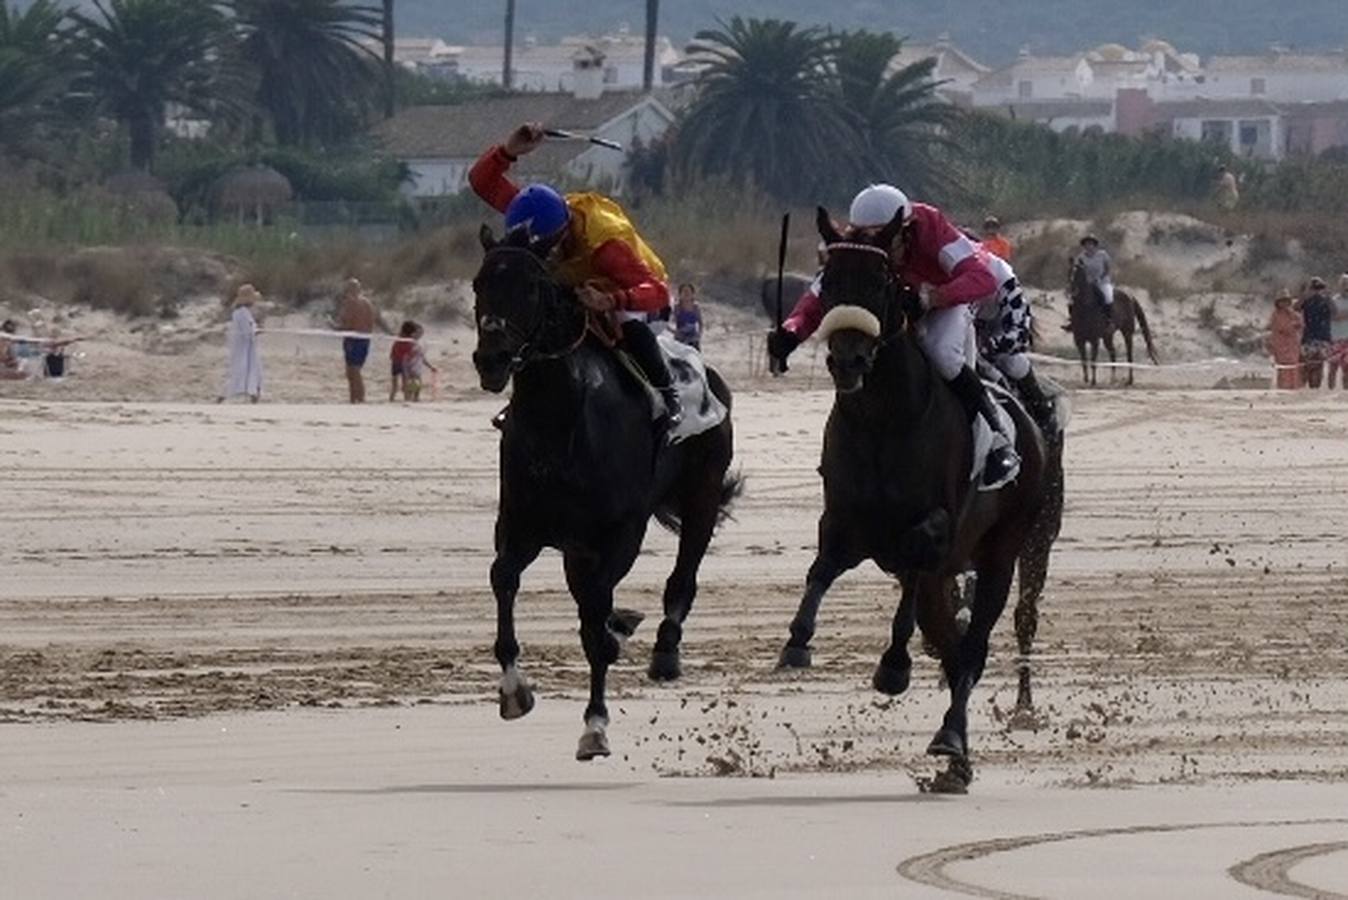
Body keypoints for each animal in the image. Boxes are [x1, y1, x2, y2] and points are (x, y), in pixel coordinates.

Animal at [474, 225, 744, 759]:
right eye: (478, 284)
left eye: (530, 287)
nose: (490, 360)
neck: (561, 423)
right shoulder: (522, 526)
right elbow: (504, 578)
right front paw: (514, 690)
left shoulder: (620, 532)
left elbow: (595, 615)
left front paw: (595, 726)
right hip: (576, 549)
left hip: (702, 497)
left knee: (681, 578)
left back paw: (664, 650)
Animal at [781, 208, 1062, 786]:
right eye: (828, 281)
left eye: (880, 283)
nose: (848, 359)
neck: (884, 421)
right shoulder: (843, 522)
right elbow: (820, 571)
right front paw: (797, 640)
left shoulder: (935, 528)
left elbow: (913, 563)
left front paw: (893, 666)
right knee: (953, 649)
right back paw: (958, 760)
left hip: (1009, 551)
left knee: (975, 646)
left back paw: (952, 738)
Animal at [1062, 260, 1159, 388]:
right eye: (1068, 271)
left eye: (1079, 273)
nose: (1072, 291)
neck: (1084, 308)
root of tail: (1130, 295)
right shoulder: (1079, 340)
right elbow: (1083, 361)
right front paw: (1086, 380)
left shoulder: (1094, 340)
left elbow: (1093, 360)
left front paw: (1093, 382)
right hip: (1107, 336)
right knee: (1113, 353)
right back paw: (1112, 379)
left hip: (1127, 333)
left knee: (1129, 355)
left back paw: (1129, 380)